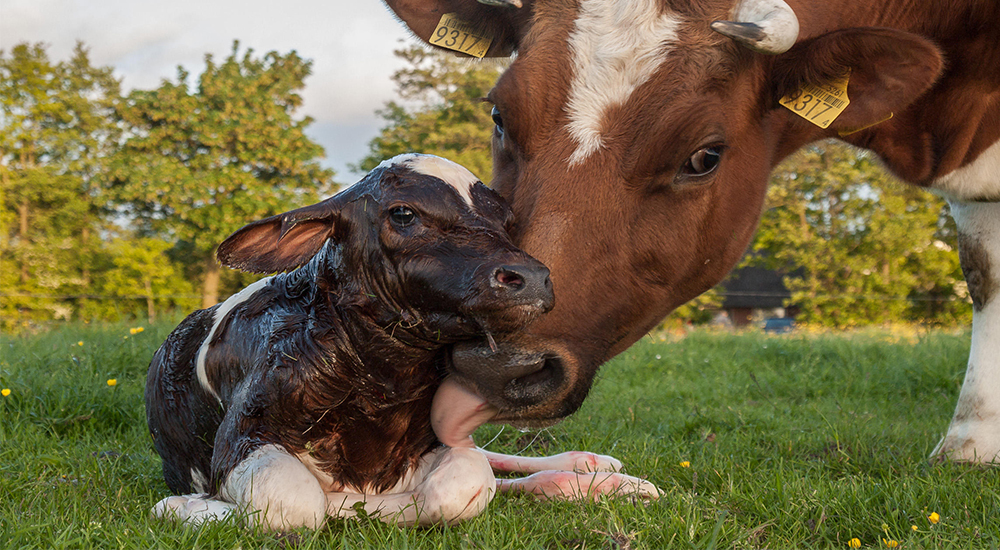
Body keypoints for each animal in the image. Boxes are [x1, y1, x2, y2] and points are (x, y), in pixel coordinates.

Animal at [143, 154, 656, 532]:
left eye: (507, 220)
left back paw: (597, 471)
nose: (530, 277)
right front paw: (187, 507)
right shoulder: (242, 435)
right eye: (403, 213)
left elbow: (464, 483)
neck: (381, 383)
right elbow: (296, 503)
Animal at [380, 0, 1000, 464]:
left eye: (703, 157)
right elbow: (982, 271)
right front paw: (972, 443)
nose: (497, 363)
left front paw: (971, 444)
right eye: (499, 117)